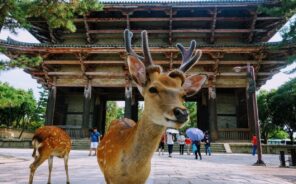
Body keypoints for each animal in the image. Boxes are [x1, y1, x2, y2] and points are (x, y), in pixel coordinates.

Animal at [97, 29, 206, 183]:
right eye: (152, 89)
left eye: (184, 95)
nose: (182, 113)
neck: (129, 173)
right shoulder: (109, 177)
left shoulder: (143, 179)